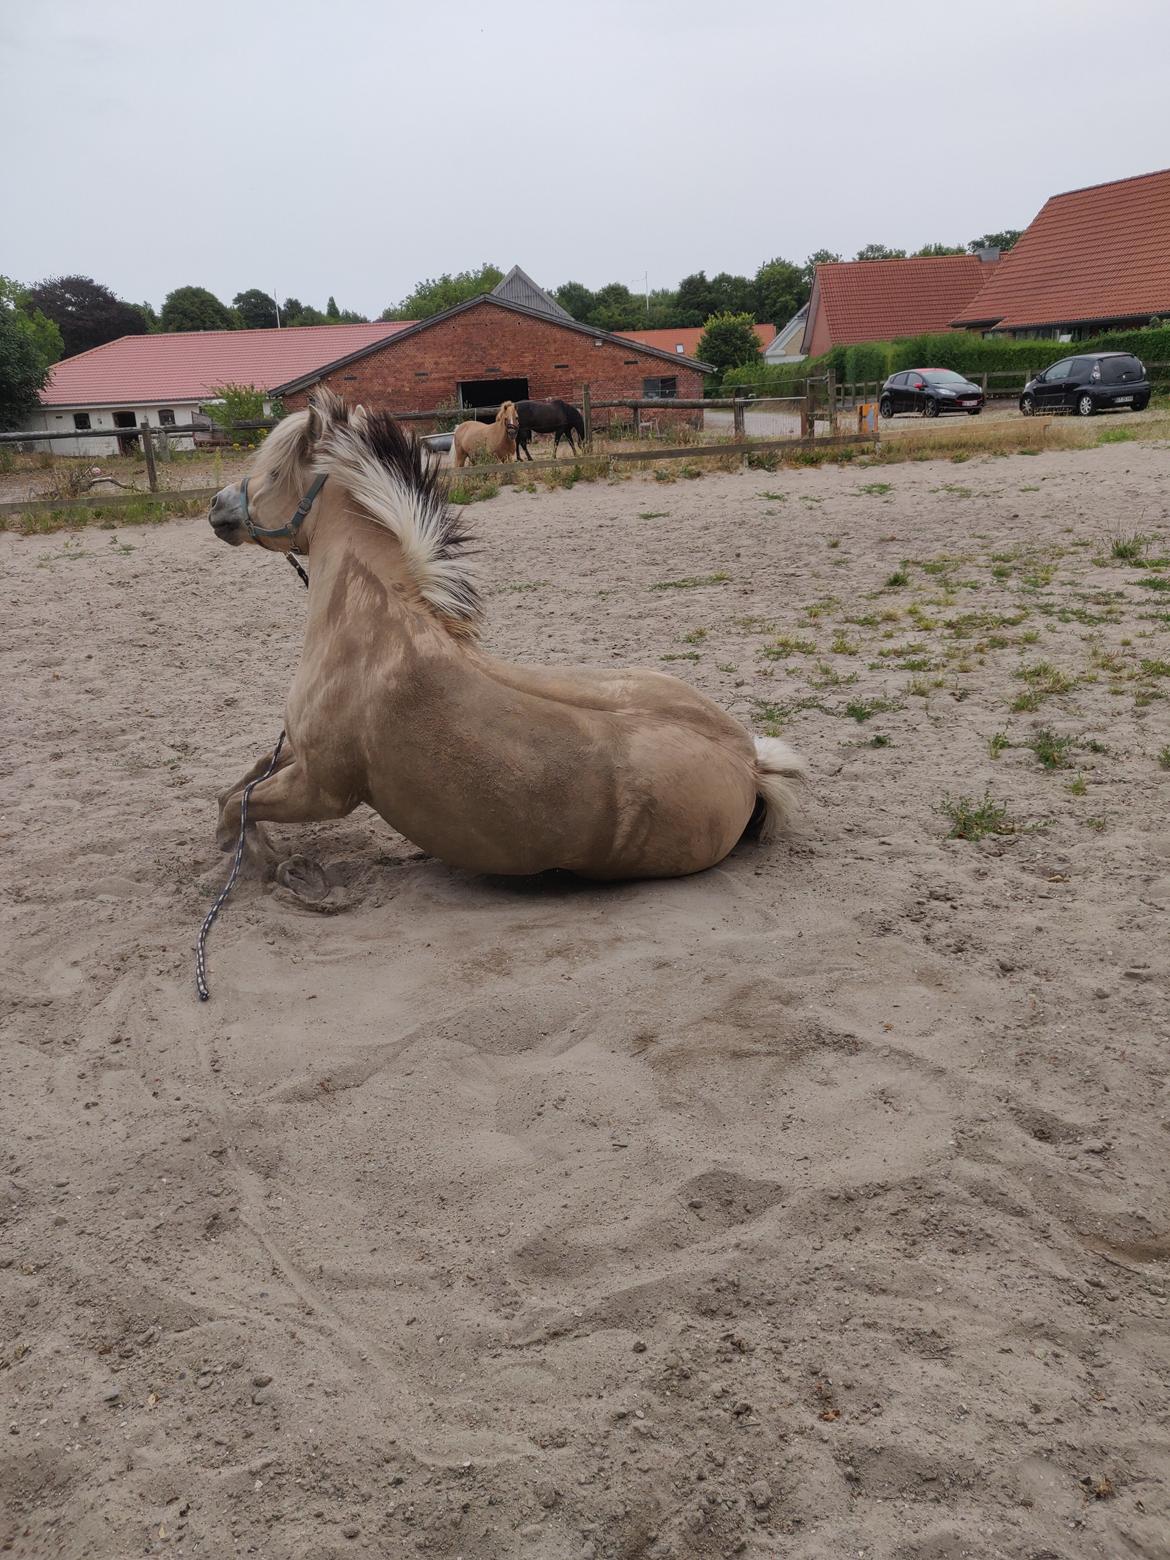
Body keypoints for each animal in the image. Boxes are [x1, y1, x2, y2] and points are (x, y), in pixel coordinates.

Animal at [205, 390, 804, 892]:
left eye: (274, 471)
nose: (216, 506)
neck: (372, 629)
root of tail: (750, 765)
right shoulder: (298, 754)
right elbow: (238, 787)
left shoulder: (322, 789)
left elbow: (239, 806)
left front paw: (252, 864)